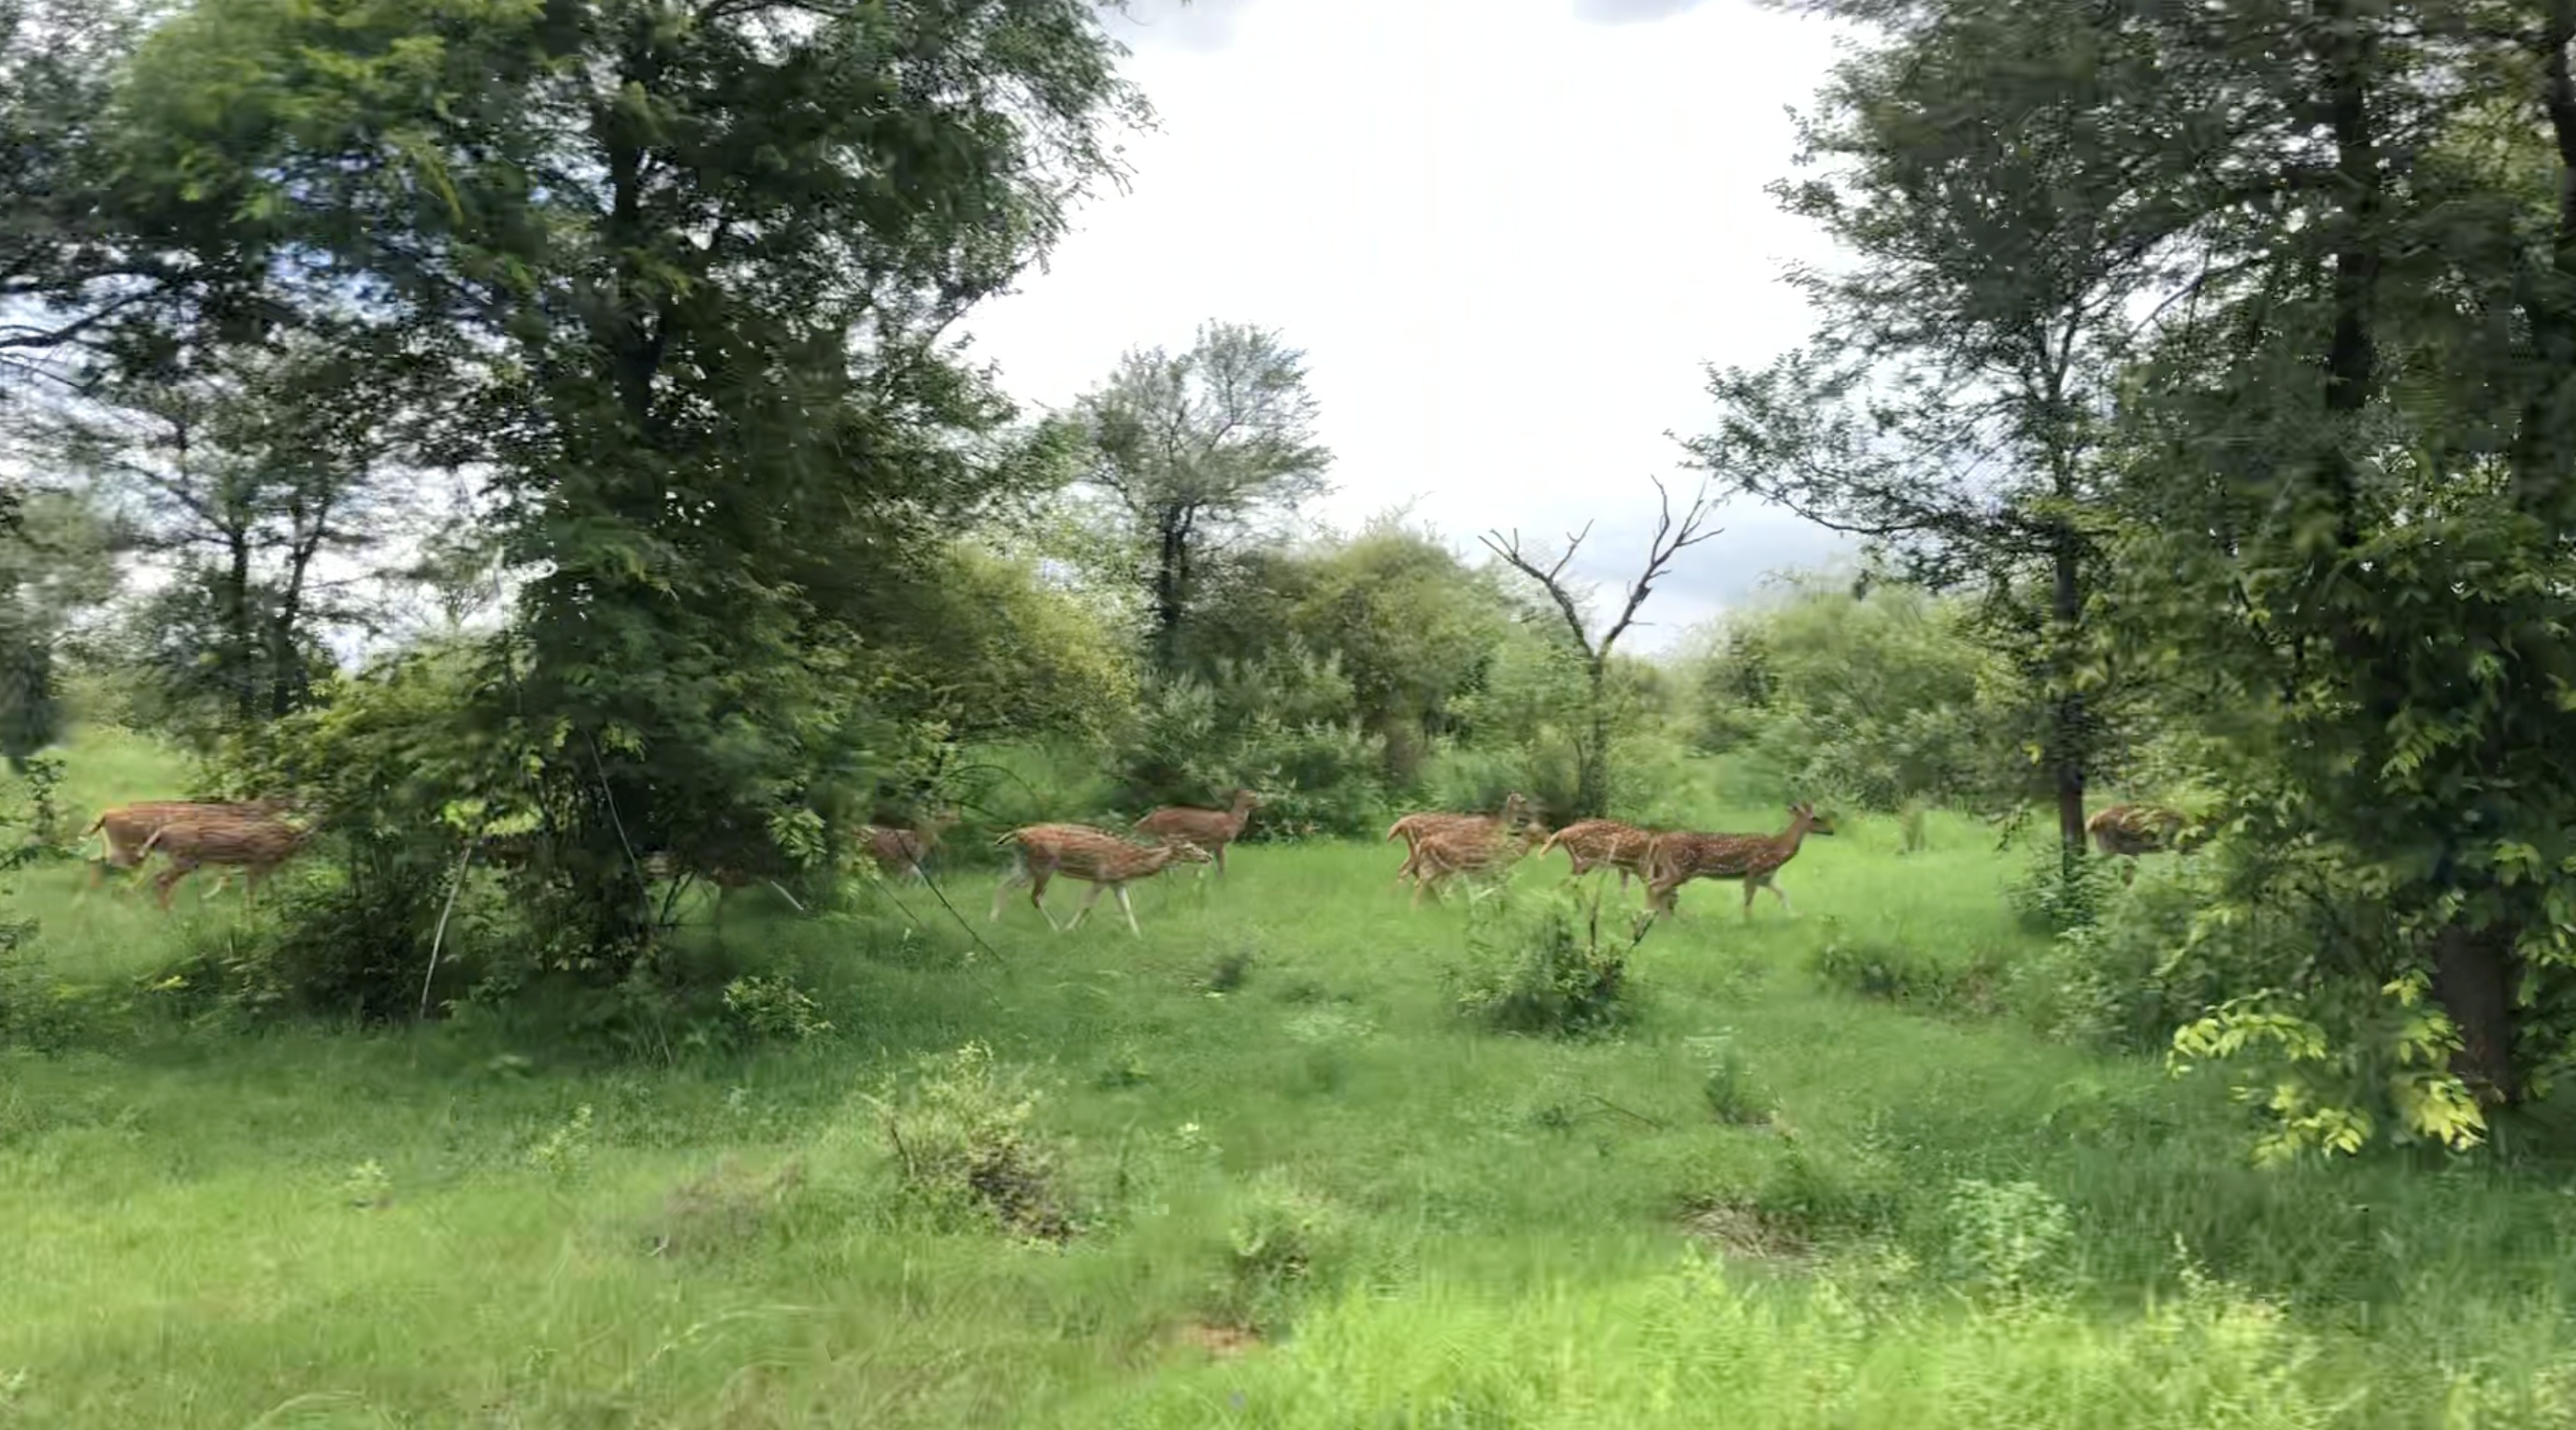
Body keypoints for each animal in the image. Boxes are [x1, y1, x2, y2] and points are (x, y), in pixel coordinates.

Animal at [136, 808, 314, 911]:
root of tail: (161, 832)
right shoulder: (258, 860)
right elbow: (250, 890)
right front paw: (251, 915)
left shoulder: (266, 865)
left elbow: (271, 888)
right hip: (183, 858)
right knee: (162, 879)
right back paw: (169, 912)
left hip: (185, 860)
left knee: (160, 877)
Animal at [994, 829, 1215, 937]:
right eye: (1189, 848)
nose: (1207, 856)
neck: (1129, 862)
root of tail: (1018, 834)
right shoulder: (1101, 877)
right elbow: (1086, 906)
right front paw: (1070, 929)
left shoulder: (1117, 882)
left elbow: (1127, 907)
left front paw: (1137, 935)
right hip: (1044, 865)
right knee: (1035, 896)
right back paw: (1055, 928)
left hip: (1024, 864)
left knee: (1004, 885)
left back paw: (993, 920)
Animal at [1133, 788, 1262, 876]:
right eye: (1252, 796)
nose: (1261, 803)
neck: (1231, 822)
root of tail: (1150, 818)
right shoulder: (1218, 842)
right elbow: (1221, 866)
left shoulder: (1209, 846)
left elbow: (1204, 865)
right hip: (1167, 837)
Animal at [1535, 824, 1658, 891]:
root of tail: (1561, 833)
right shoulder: (1640, 868)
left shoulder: (1625, 869)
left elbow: (1624, 889)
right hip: (1583, 860)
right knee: (1568, 882)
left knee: (1567, 882)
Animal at [1648, 798, 1834, 922]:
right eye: (1815, 818)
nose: (1831, 830)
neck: (1777, 850)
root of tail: (1660, 840)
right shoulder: (1752, 871)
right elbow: (1748, 900)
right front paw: (1747, 922)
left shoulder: (1766, 878)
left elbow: (1783, 894)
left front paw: (1794, 915)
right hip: (1681, 869)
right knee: (1656, 888)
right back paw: (1657, 919)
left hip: (1671, 869)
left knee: (1657, 887)